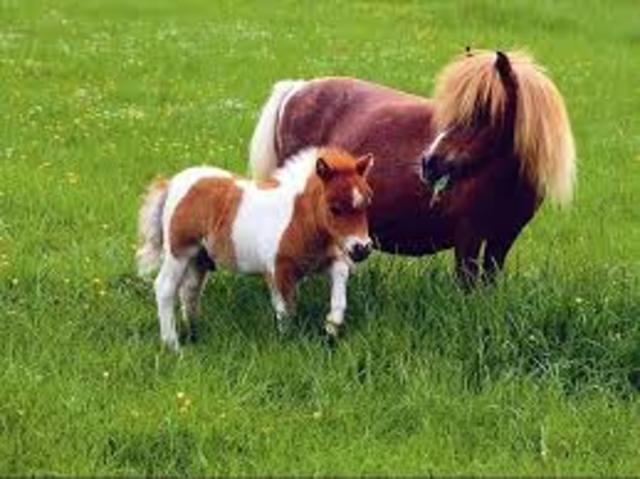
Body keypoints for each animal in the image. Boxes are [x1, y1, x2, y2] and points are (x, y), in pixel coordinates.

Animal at [136, 147, 374, 351]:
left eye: (367, 203)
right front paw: (288, 344)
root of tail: (172, 183)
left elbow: (340, 277)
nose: (362, 248)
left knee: (190, 291)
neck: (297, 219)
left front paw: (332, 326)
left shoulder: (322, 262)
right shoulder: (279, 271)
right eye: (334, 208)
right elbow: (286, 310)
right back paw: (172, 345)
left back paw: (194, 334)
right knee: (165, 288)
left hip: (199, 258)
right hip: (179, 252)